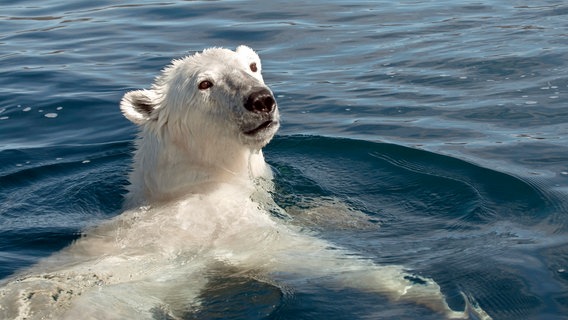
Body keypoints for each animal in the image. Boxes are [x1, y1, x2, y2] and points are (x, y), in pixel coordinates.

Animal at [0, 46, 488, 318]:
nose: (261, 100)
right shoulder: (225, 227)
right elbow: (313, 257)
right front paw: (443, 299)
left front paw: (352, 217)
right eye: (204, 83)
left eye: (252, 65)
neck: (194, 180)